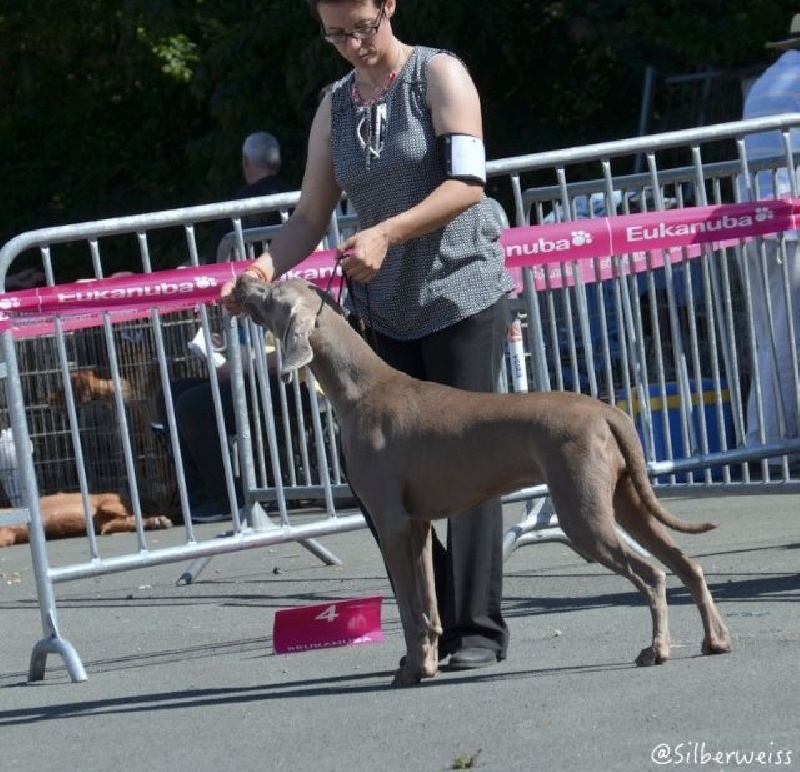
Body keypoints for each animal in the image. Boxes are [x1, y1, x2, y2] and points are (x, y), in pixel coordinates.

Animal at [231, 274, 732, 684]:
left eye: (270, 293)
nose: (241, 281)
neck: (362, 389)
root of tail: (608, 411)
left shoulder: (390, 522)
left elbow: (408, 608)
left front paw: (411, 671)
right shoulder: (416, 524)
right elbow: (428, 604)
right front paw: (426, 664)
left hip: (583, 515)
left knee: (652, 573)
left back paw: (656, 650)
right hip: (625, 501)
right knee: (687, 564)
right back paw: (716, 640)